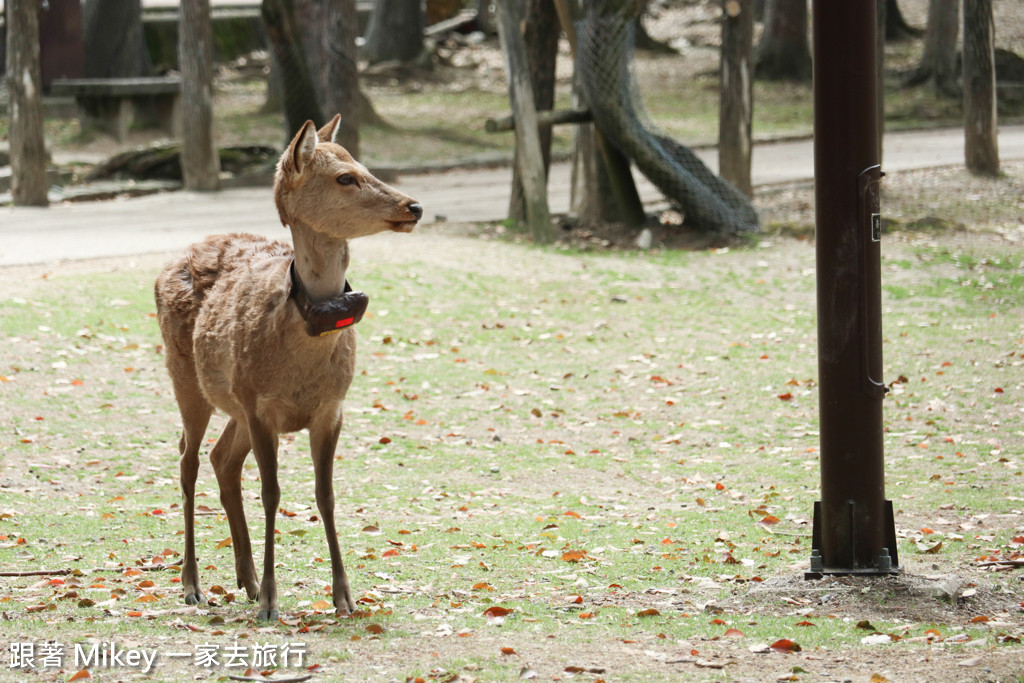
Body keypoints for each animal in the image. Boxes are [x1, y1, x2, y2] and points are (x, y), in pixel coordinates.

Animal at [152, 114, 423, 622]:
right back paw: (193, 584)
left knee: (222, 459)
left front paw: (344, 597)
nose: (413, 206)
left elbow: (326, 495)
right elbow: (272, 493)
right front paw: (271, 603)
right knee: (187, 459)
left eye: (364, 165)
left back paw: (246, 579)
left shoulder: (330, 408)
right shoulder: (262, 407)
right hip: (186, 379)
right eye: (345, 177)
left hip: (234, 403)